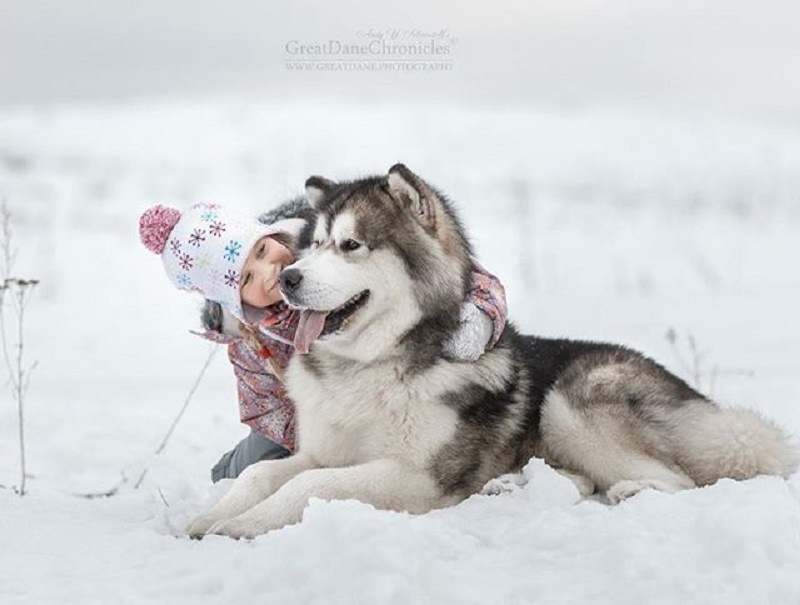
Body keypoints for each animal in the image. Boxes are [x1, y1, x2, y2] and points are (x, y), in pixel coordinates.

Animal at [186, 162, 792, 536]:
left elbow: (310, 484)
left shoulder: (417, 475)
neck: (371, 368)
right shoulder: (322, 449)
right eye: (311, 246)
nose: (288, 278)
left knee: (679, 481)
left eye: (351, 245)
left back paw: (628, 490)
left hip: (572, 401)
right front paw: (208, 518)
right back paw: (511, 485)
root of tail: (695, 399)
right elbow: (262, 475)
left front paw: (241, 525)